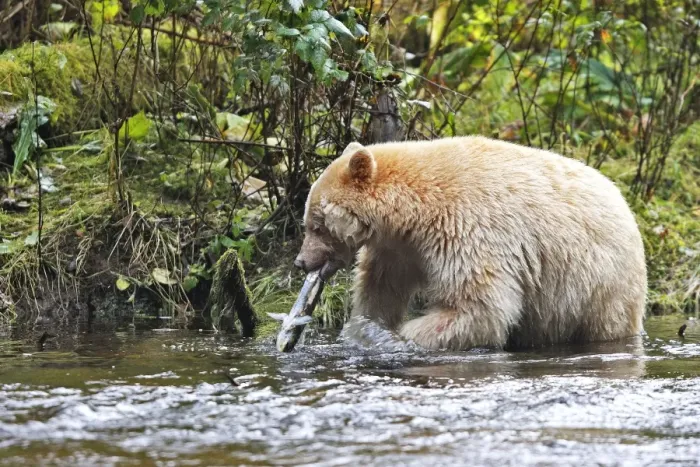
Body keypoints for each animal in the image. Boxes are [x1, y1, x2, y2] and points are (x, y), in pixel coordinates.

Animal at [293, 136, 647, 351]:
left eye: (316, 225)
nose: (301, 262)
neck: (416, 210)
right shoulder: (400, 248)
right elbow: (381, 288)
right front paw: (366, 326)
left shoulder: (467, 228)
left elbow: (477, 306)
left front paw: (403, 336)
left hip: (599, 284)